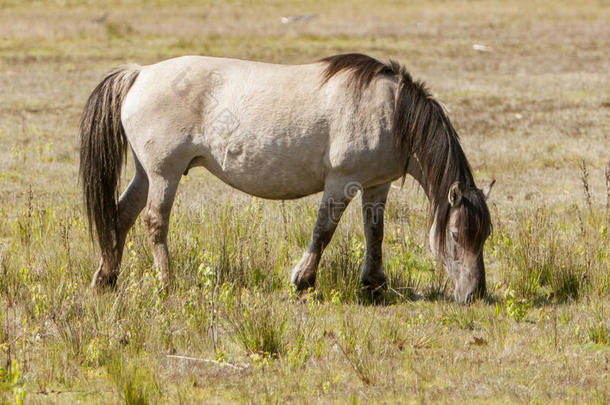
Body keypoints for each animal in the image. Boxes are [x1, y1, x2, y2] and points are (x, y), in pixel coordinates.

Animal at [78, 52, 492, 302]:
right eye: (457, 235)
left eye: (484, 236)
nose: (475, 294)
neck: (390, 110)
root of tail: (140, 73)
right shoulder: (342, 182)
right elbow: (324, 231)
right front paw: (303, 281)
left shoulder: (377, 185)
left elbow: (375, 232)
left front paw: (374, 285)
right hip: (165, 173)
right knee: (154, 222)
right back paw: (167, 284)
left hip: (146, 173)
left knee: (120, 217)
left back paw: (106, 278)